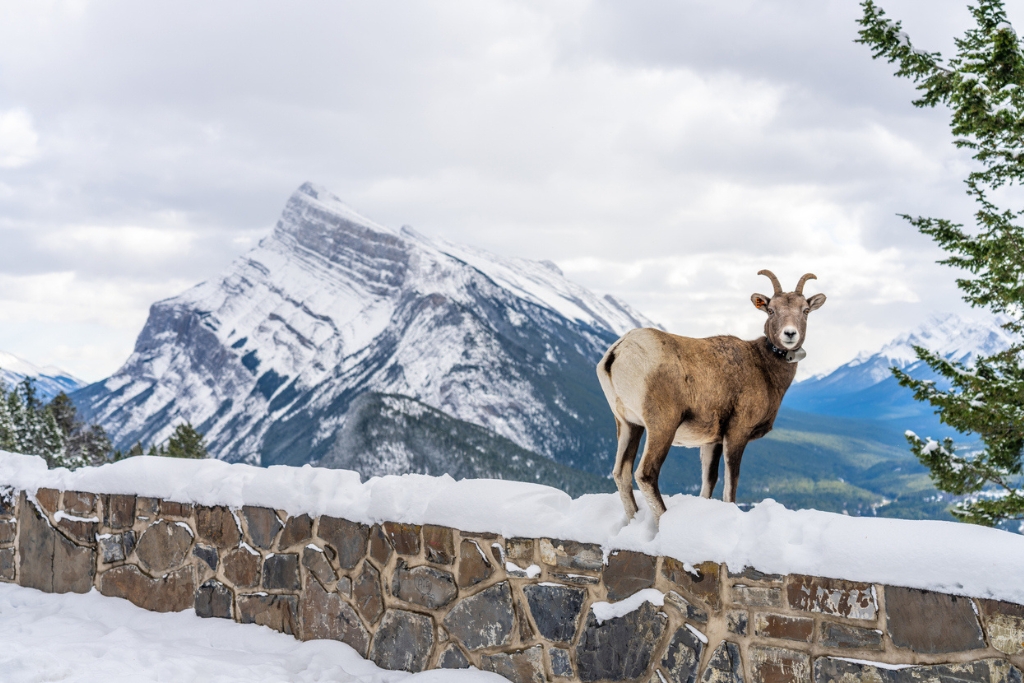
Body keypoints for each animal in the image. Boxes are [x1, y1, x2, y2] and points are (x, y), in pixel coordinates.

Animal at [596, 270, 826, 522]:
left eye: (805, 310)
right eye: (771, 310)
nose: (790, 334)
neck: (764, 368)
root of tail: (618, 353)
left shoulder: (711, 441)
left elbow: (709, 481)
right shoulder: (736, 433)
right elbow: (731, 484)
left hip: (629, 425)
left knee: (621, 473)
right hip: (662, 426)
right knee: (646, 473)